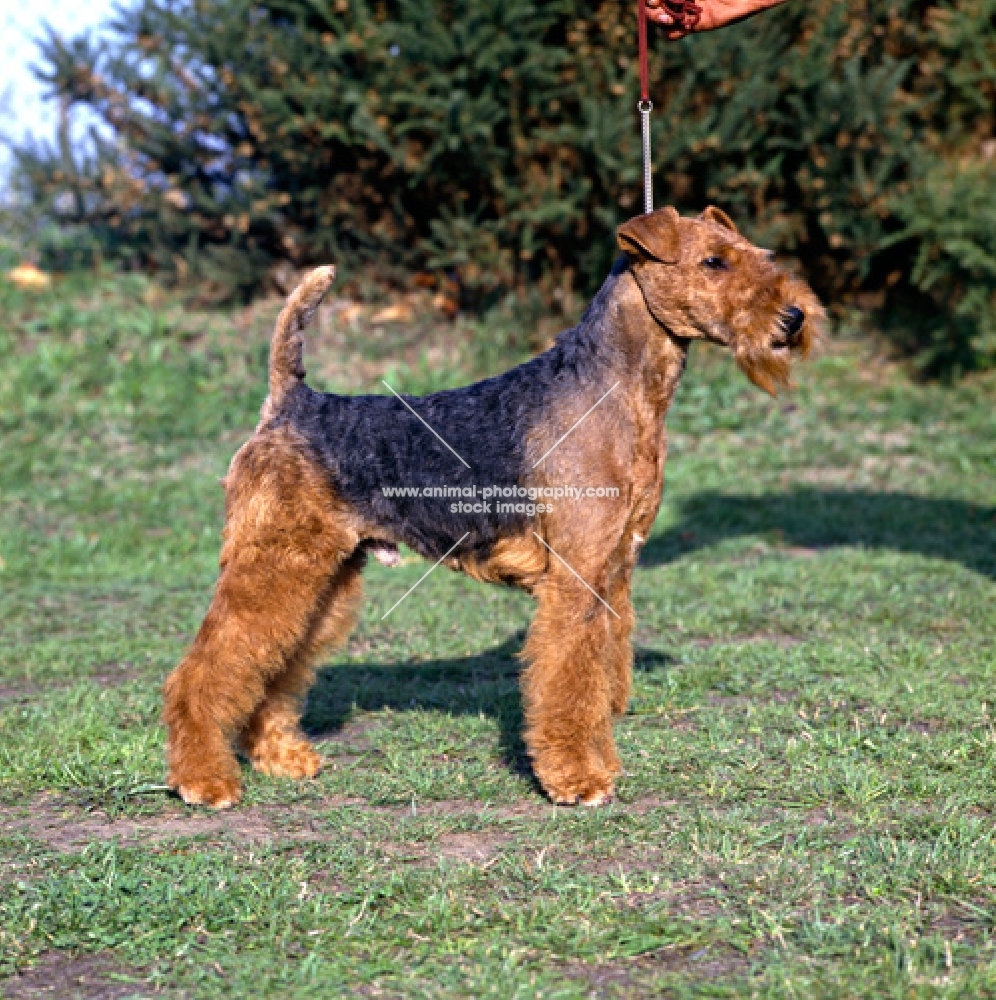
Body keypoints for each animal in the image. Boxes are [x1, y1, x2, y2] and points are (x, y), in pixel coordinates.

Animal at [161, 207, 816, 808]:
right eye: (714, 262)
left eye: (757, 255)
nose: (795, 319)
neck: (619, 390)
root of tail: (288, 403)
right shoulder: (575, 579)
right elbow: (568, 682)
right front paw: (576, 780)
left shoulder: (613, 571)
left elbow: (601, 672)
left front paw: (602, 764)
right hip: (276, 563)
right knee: (202, 671)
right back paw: (205, 781)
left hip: (322, 577)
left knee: (273, 668)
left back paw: (280, 758)